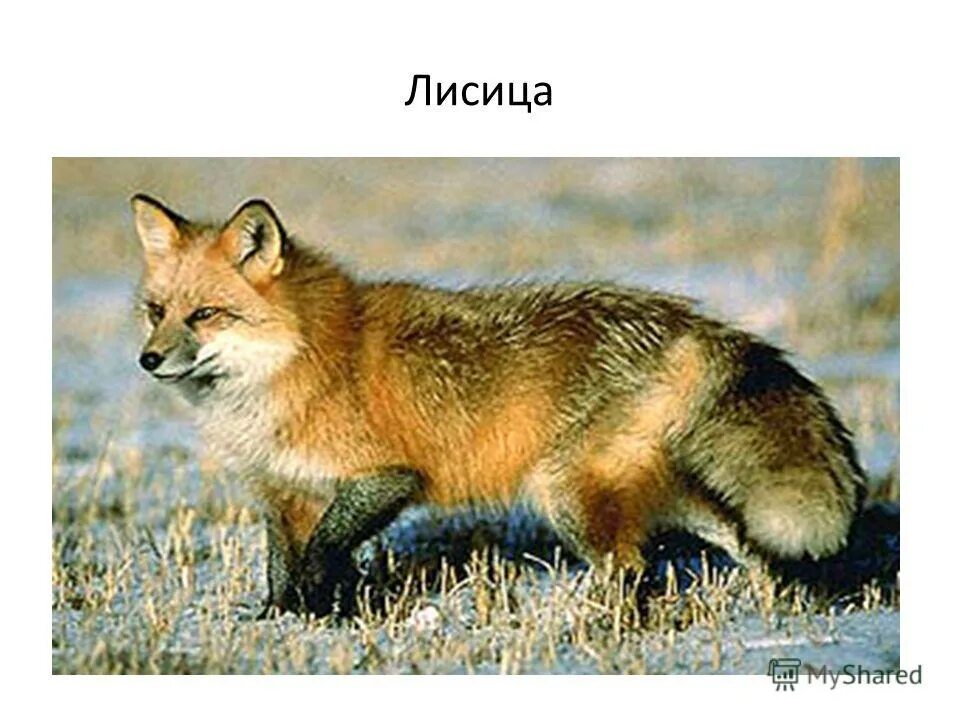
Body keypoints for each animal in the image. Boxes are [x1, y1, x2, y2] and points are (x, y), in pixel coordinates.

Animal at [131, 194, 866, 617]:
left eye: (205, 315)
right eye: (155, 311)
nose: (148, 360)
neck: (299, 360)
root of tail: (687, 317)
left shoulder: (383, 478)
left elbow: (324, 553)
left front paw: (318, 606)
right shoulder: (285, 490)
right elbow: (284, 566)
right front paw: (288, 619)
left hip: (565, 492)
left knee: (631, 569)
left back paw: (594, 627)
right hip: (657, 487)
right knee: (739, 539)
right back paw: (787, 605)